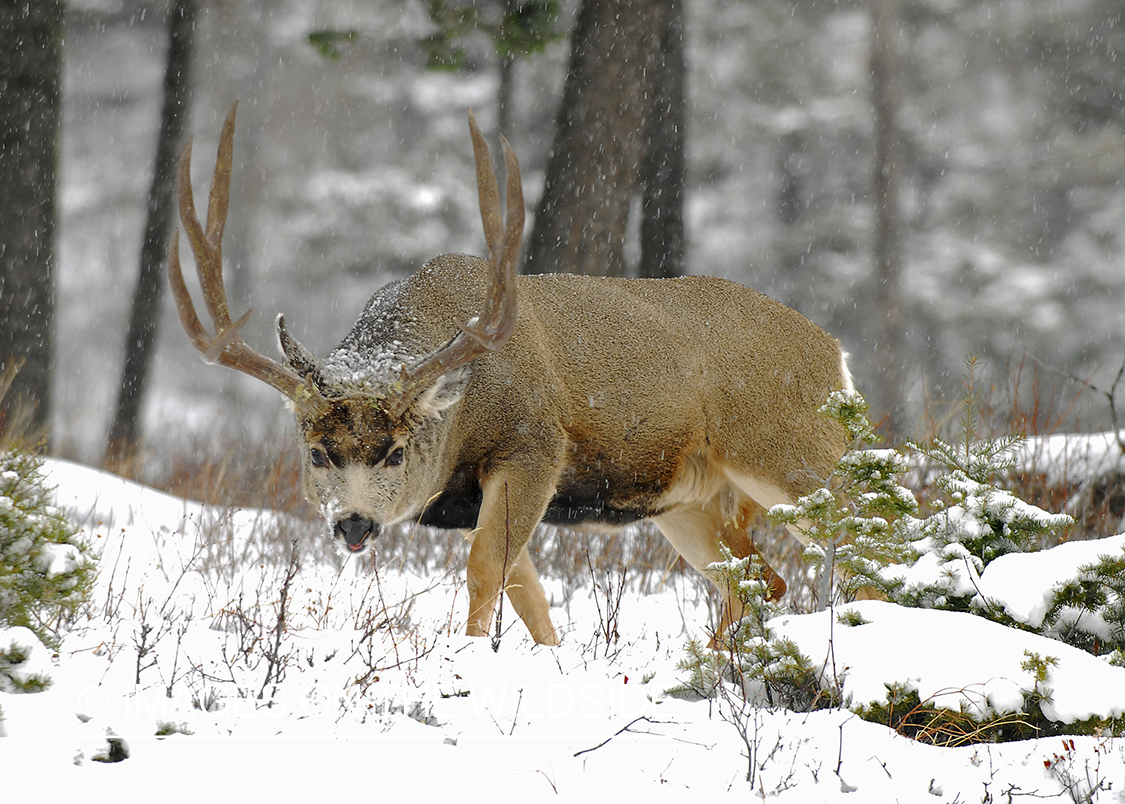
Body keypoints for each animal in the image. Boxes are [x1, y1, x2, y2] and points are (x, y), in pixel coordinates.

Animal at [168, 103, 853, 647]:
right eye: (316, 452)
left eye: (394, 452)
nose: (354, 522)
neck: (458, 422)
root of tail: (836, 356)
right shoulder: (475, 497)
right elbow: (531, 598)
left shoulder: (534, 446)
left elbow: (483, 573)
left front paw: (469, 661)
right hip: (686, 500)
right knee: (762, 581)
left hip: (791, 454)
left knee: (859, 547)